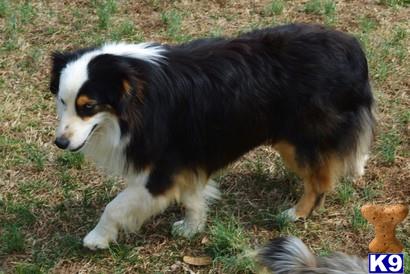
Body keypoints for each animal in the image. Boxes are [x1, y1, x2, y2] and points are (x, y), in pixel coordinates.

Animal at [48, 24, 374, 250]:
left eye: (88, 107)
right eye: (62, 101)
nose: (60, 144)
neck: (135, 95)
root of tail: (352, 47)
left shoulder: (161, 169)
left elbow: (115, 206)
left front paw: (96, 238)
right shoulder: (184, 158)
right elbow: (192, 196)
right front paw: (192, 228)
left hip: (299, 139)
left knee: (319, 180)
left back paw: (296, 213)